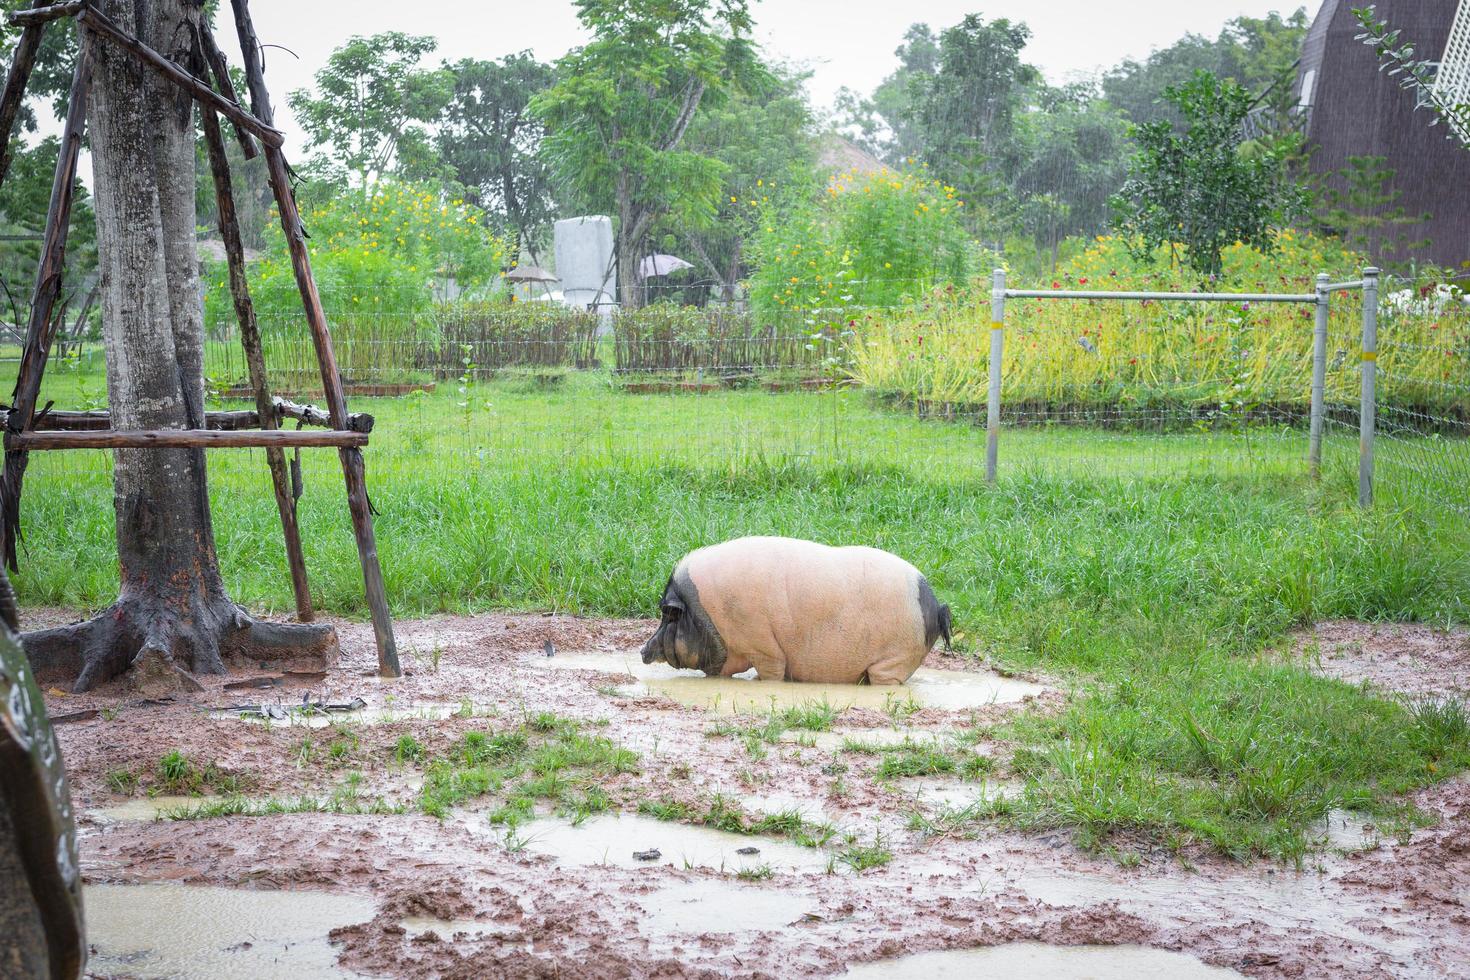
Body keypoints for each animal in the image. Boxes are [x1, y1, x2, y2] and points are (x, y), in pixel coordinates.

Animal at [643, 537, 952, 681]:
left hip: (894, 660)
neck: (708, 615)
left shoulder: (763, 646)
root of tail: (936, 607)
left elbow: (771, 672)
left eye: (668, 616)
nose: (642, 650)